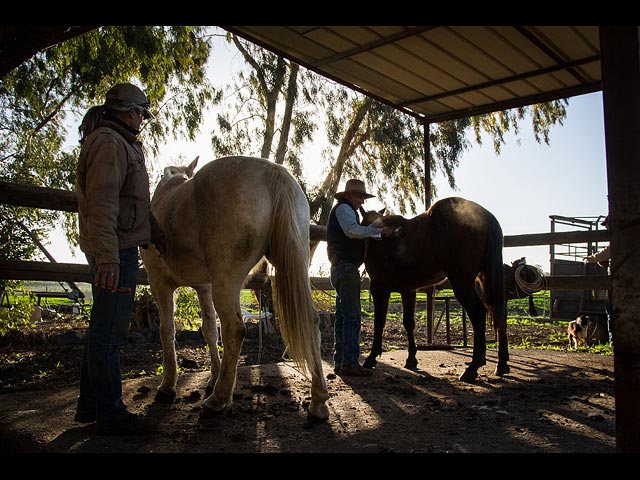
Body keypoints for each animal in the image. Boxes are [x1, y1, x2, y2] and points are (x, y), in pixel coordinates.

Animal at [141, 156, 330, 422]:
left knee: (234, 329)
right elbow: (209, 330)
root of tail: (272, 172)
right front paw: (212, 376)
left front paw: (168, 386)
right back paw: (318, 402)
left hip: (227, 282)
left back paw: (217, 400)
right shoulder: (204, 287)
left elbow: (166, 331)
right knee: (310, 320)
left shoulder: (159, 283)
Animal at [360, 195, 510, 382]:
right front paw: (411, 359)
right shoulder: (408, 290)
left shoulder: (379, 287)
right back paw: (501, 364)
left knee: (478, 314)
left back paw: (473, 367)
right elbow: (408, 322)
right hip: (485, 279)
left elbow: (379, 322)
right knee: (498, 312)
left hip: (462, 282)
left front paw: (371, 357)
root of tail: (487, 217)